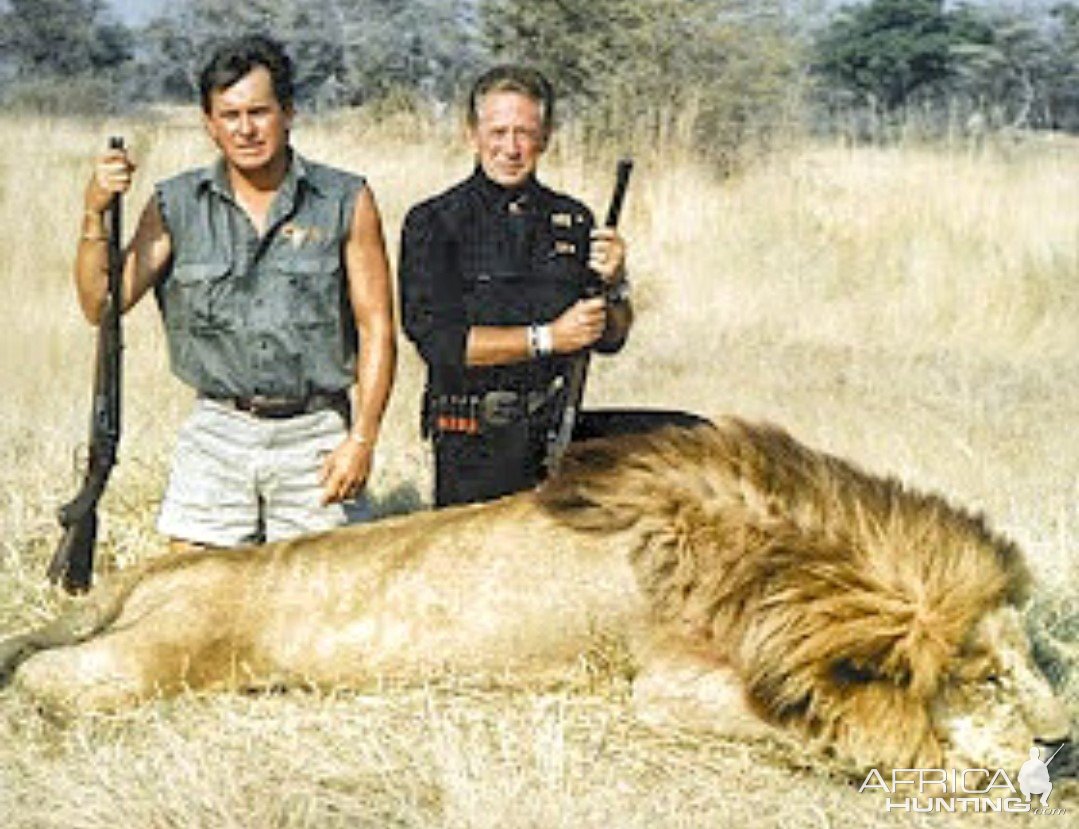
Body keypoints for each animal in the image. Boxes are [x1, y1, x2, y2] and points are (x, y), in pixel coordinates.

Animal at [0, 418, 1066, 772]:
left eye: (1033, 658)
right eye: (984, 675)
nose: (1063, 743)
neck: (787, 555)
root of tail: (165, 565)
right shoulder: (666, 683)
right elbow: (851, 725)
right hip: (160, 654)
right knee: (50, 676)